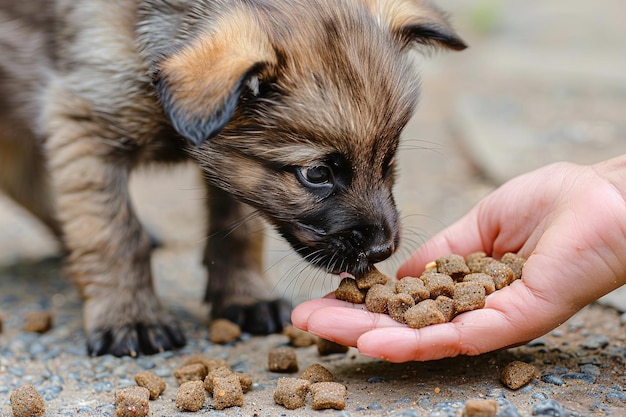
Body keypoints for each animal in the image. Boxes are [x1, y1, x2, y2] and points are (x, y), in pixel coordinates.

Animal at [0, 0, 464, 358]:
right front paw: (130, 316)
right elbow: (114, 235)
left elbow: (237, 229)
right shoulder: (84, 128)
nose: (383, 249)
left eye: (388, 158)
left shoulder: (232, 164)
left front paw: (245, 296)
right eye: (317, 173)